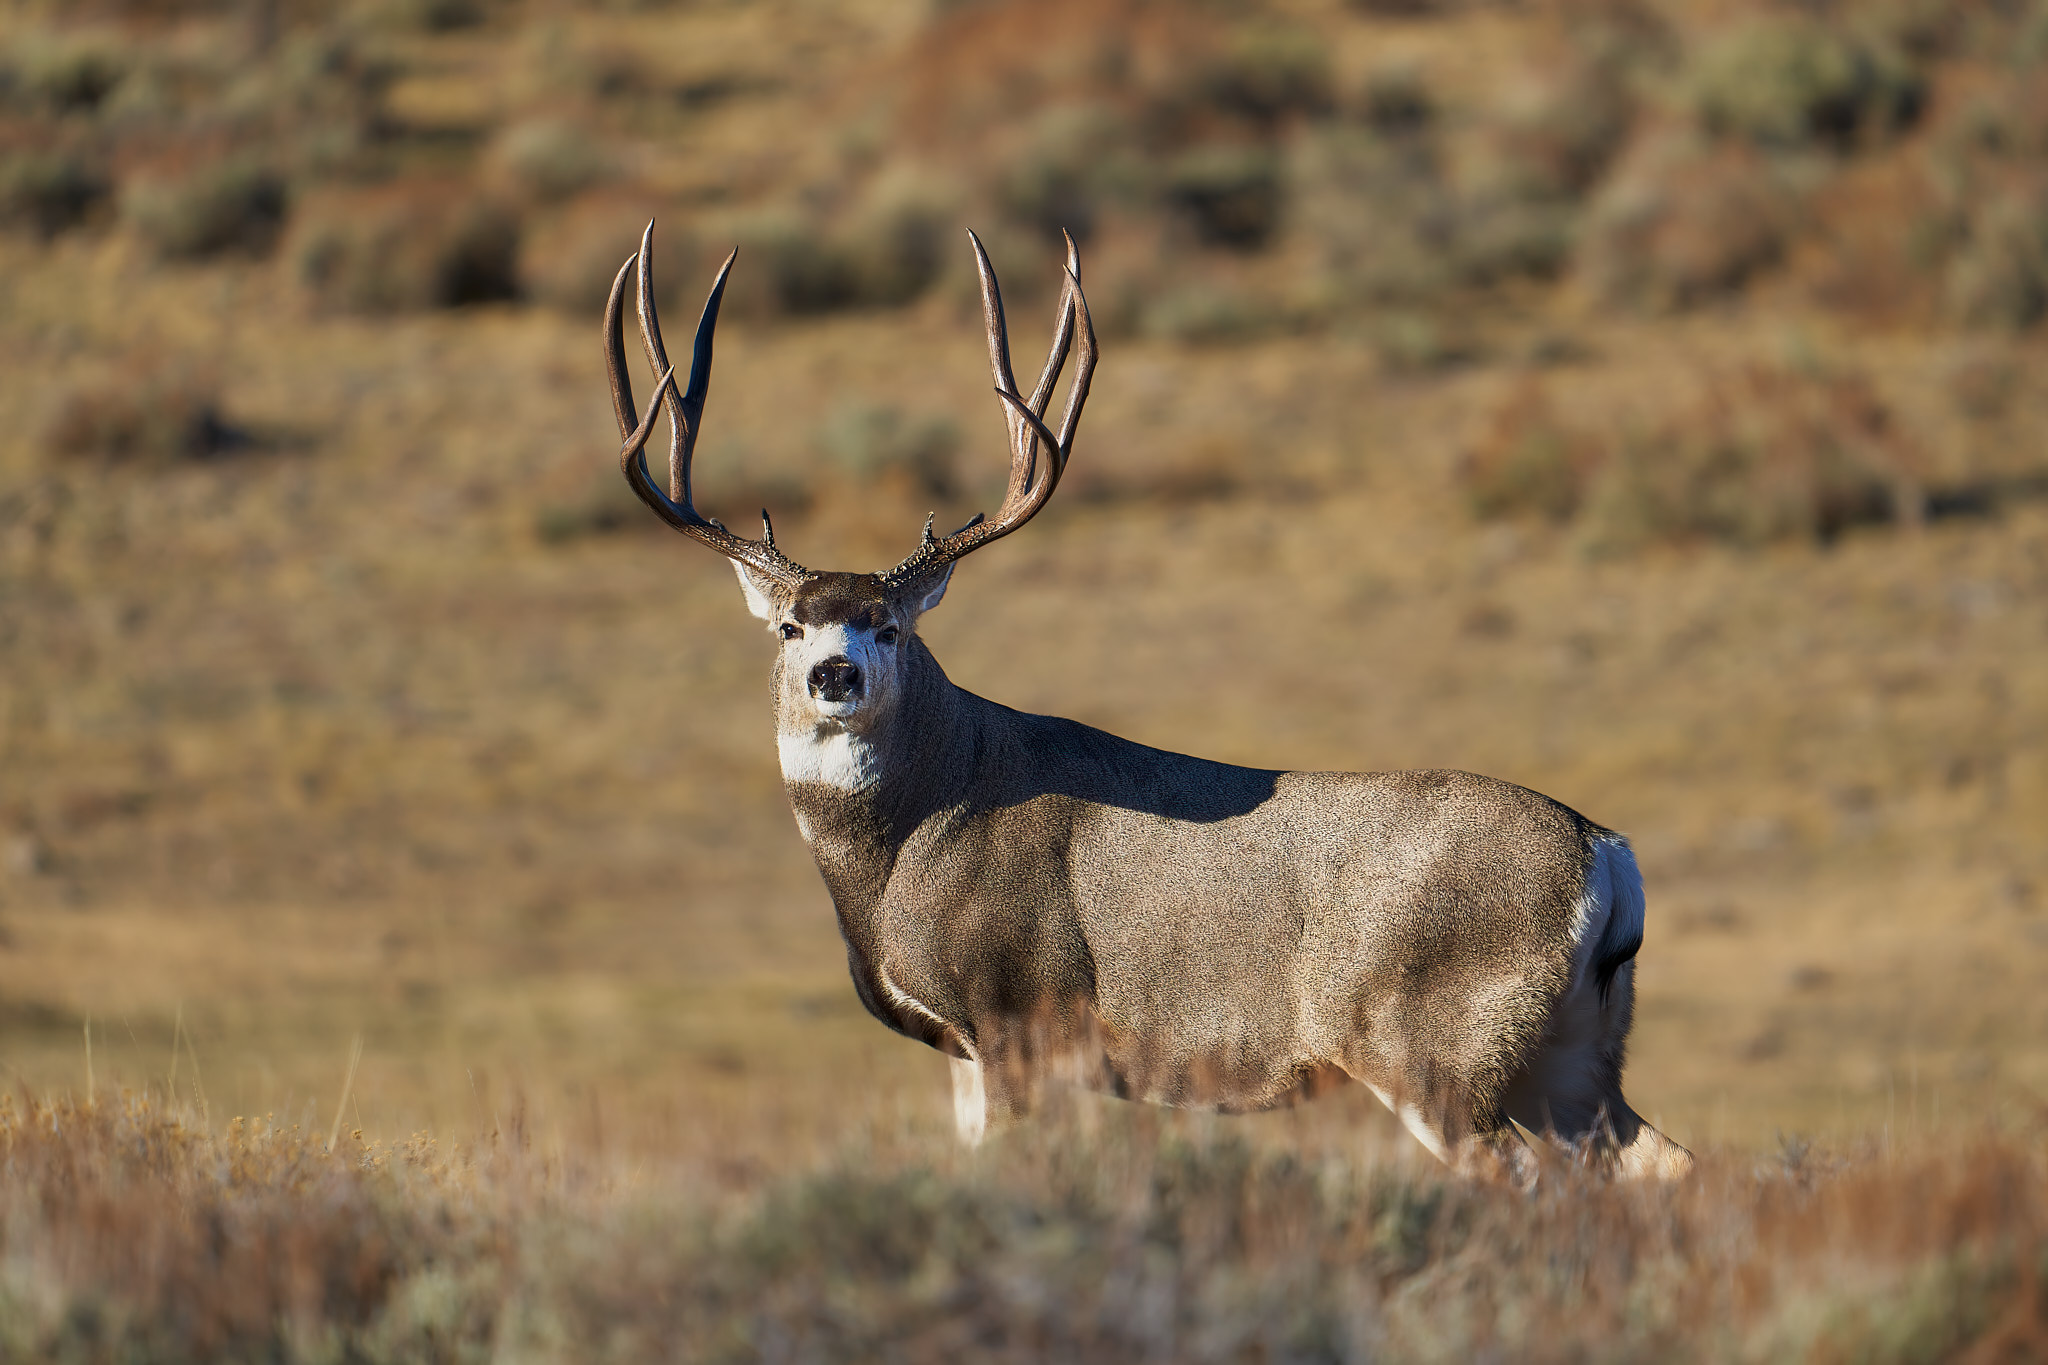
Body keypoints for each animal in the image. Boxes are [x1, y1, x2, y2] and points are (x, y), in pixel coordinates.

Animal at [601, 222, 1694, 1181]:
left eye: (891, 626)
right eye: (791, 626)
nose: (835, 675)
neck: (915, 830)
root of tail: (1605, 851)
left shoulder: (1019, 1013)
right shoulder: (966, 1049)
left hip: (1439, 1043)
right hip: (1569, 1051)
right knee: (1660, 1162)